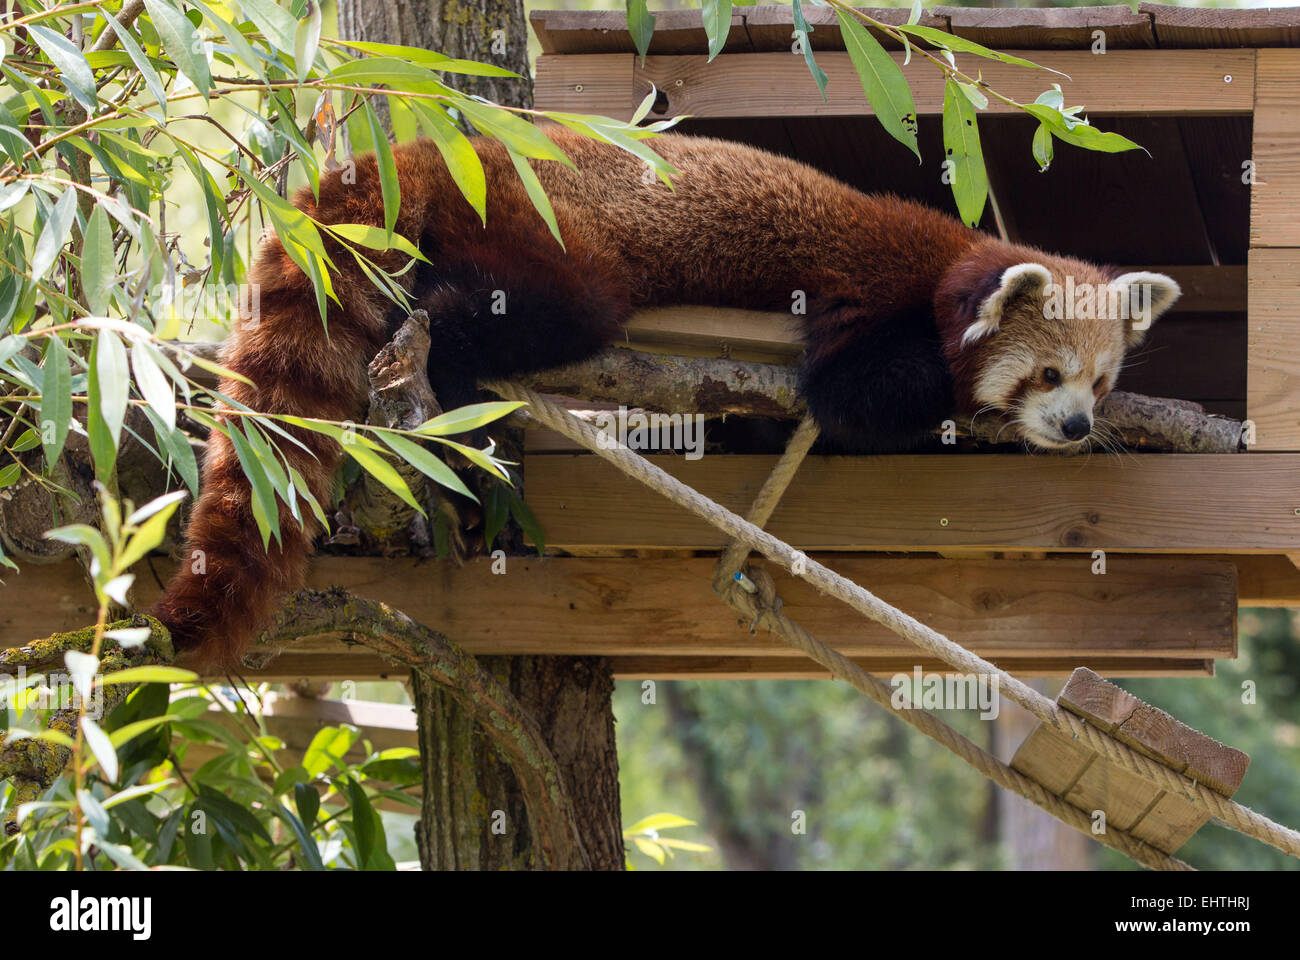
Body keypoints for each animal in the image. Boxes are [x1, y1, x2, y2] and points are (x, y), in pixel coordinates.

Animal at [147, 127, 1185, 666]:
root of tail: (441, 141)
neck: (947, 266)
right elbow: (853, 397)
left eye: (1099, 383)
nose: (1076, 425)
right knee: (519, 308)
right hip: (546, 232)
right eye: (1048, 375)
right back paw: (456, 372)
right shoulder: (871, 297)